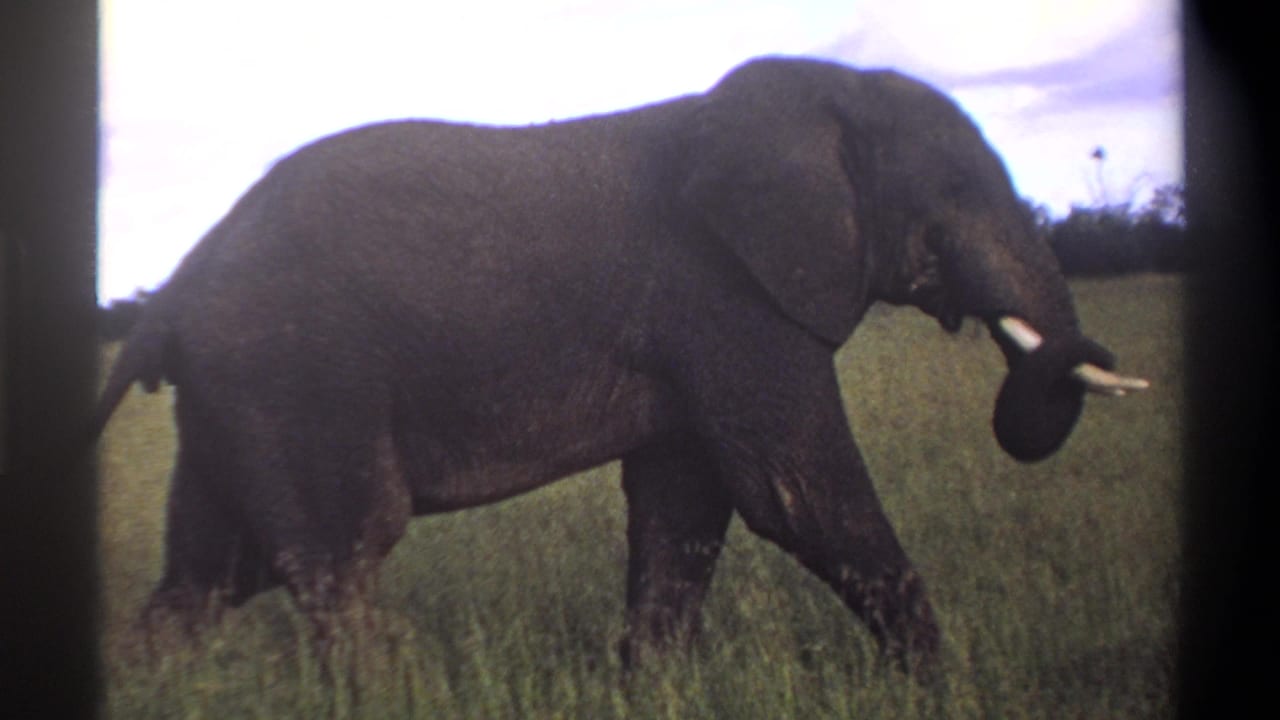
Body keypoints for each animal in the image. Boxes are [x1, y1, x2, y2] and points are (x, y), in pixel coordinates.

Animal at [93, 55, 1147, 675]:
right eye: (959, 190)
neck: (824, 91)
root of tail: (170, 297)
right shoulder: (728, 294)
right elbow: (800, 497)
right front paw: (950, 684)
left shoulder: (706, 325)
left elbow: (687, 507)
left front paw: (652, 688)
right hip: (296, 379)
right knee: (341, 563)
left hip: (239, 398)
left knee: (206, 576)